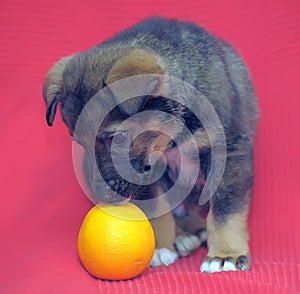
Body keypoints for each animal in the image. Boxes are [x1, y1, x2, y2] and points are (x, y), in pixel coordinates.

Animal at [42, 17, 258, 272]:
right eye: (80, 143)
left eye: (117, 138)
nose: (102, 196)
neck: (174, 133)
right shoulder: (148, 172)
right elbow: (158, 210)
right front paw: (160, 247)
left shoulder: (229, 153)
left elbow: (226, 210)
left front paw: (226, 254)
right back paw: (182, 237)